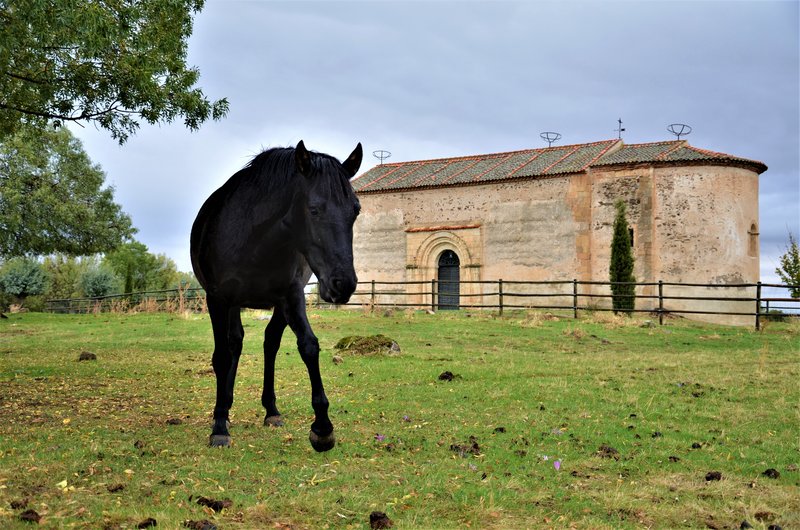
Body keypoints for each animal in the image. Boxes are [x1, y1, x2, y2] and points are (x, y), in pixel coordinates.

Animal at [189, 140, 360, 450]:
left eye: (356, 210)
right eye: (314, 209)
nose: (343, 284)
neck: (256, 240)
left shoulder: (290, 297)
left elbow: (308, 346)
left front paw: (322, 428)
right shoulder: (218, 299)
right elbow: (222, 356)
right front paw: (219, 426)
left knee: (269, 343)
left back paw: (271, 410)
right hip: (231, 304)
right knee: (234, 344)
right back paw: (225, 408)